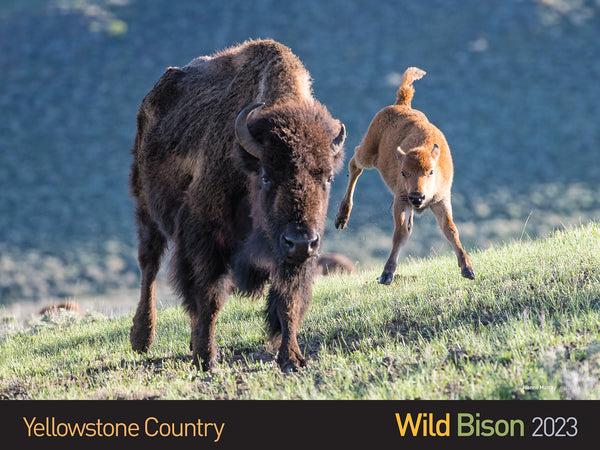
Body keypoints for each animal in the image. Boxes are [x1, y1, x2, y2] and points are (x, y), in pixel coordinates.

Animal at [338, 66, 474, 284]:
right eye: (403, 172)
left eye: (431, 171)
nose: (417, 197)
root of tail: (401, 104)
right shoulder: (401, 200)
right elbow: (400, 233)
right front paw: (386, 274)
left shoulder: (441, 201)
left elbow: (450, 229)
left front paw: (467, 268)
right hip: (368, 154)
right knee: (354, 162)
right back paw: (342, 216)